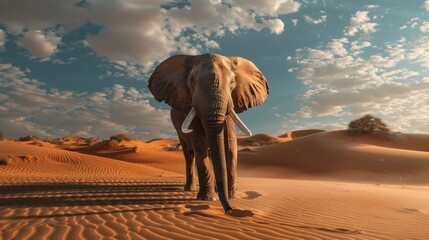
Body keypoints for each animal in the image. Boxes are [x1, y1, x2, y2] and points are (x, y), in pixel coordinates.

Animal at [148, 53, 268, 213]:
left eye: (232, 82)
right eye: (192, 81)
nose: (229, 210)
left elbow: (230, 146)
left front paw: (232, 196)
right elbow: (200, 146)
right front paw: (208, 199)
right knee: (189, 154)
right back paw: (190, 189)